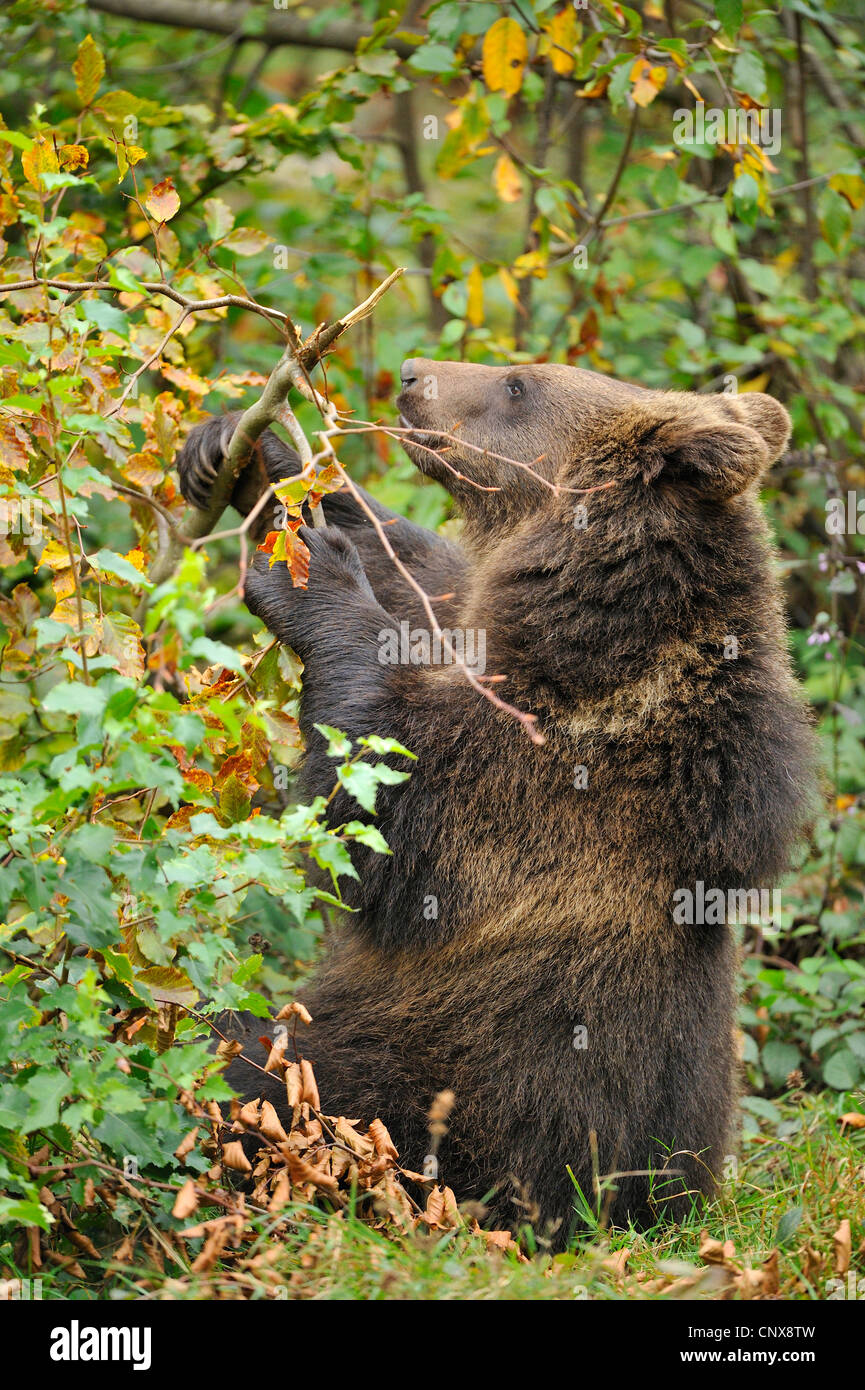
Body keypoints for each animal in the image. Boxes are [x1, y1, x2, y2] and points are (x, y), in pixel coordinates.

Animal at [176, 364, 817, 1245]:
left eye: (518, 385)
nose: (413, 376)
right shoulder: (472, 630)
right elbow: (423, 582)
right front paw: (250, 454)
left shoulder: (554, 766)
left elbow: (392, 804)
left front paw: (309, 564)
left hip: (436, 1088)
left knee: (256, 1072)